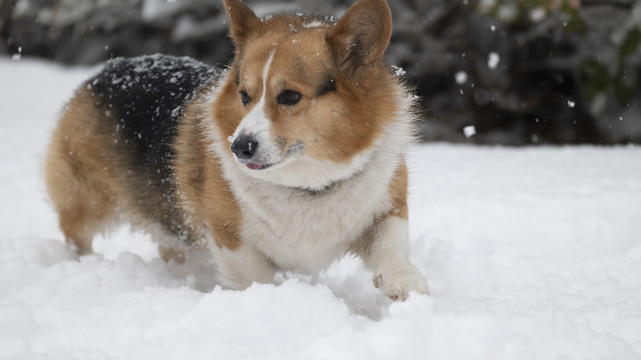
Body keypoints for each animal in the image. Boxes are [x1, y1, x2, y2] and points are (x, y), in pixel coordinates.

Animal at [43, 0, 424, 300]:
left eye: (289, 96)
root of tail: (108, 69)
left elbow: (391, 244)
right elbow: (256, 277)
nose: (239, 147)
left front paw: (406, 284)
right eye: (244, 95)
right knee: (76, 237)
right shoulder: (231, 238)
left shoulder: (389, 206)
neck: (308, 185)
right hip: (86, 202)